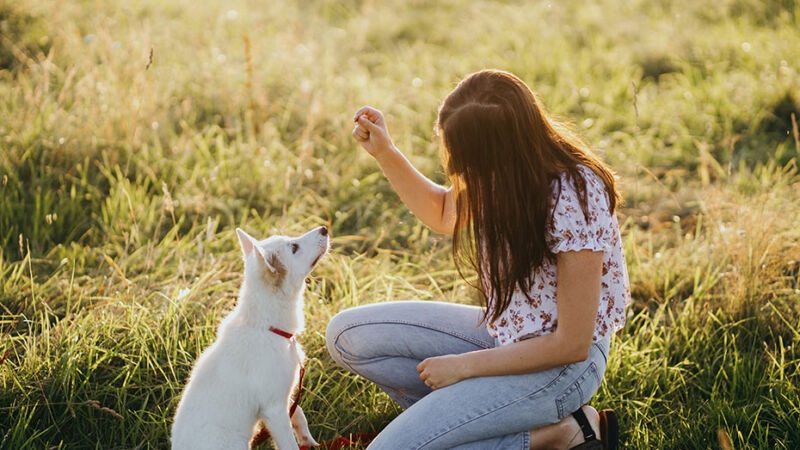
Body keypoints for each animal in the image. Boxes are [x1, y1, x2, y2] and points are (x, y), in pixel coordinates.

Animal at [170, 227, 330, 448]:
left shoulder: (282, 396)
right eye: (294, 247)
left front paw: (309, 441)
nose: (324, 229)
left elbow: (298, 412)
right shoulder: (273, 408)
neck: (266, 327)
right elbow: (288, 443)